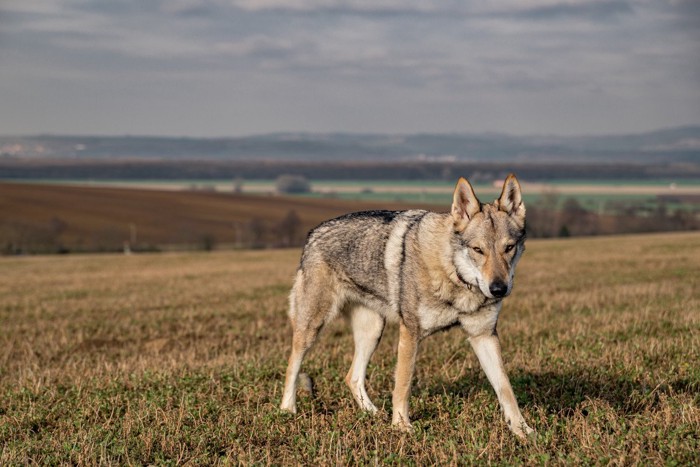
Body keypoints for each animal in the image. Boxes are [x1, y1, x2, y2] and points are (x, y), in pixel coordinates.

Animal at [282, 175, 532, 438]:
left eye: (509, 248)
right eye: (478, 250)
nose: (498, 289)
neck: (454, 275)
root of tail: (313, 233)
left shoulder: (483, 335)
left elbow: (505, 388)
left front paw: (523, 430)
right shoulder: (410, 333)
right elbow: (403, 384)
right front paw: (402, 426)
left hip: (372, 332)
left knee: (352, 377)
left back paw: (373, 413)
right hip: (312, 328)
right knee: (292, 365)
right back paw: (287, 410)